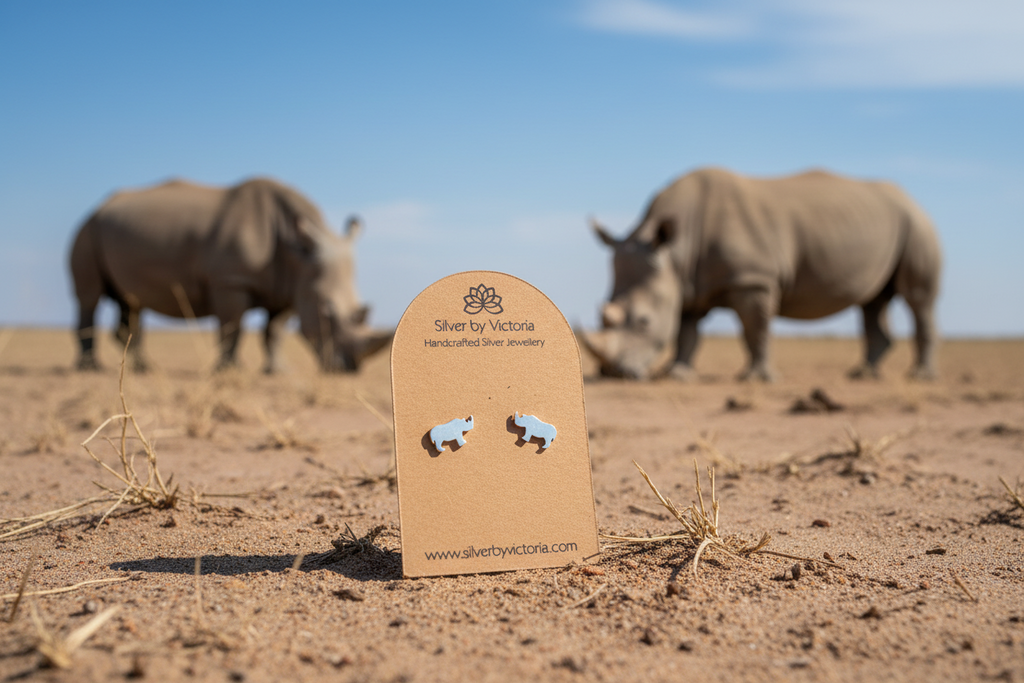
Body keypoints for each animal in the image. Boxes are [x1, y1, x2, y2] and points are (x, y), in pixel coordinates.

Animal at [69, 177, 392, 373]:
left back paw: (143, 367)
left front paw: (277, 371)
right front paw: (229, 370)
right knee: (89, 297)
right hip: (87, 230)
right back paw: (90, 368)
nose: (350, 369)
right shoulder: (230, 281)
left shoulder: (289, 288)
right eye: (327, 312)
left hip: (111, 231)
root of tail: (98, 207)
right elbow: (232, 327)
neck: (296, 253)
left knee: (130, 302)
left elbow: (273, 331)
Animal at [583, 168, 942, 381]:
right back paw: (863, 374)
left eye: (644, 321)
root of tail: (911, 199)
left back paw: (919, 376)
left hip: (917, 224)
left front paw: (755, 378)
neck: (676, 251)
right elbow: (686, 332)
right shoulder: (687, 286)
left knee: (918, 299)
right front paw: (678, 375)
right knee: (873, 301)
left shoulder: (752, 280)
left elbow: (754, 330)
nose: (612, 373)